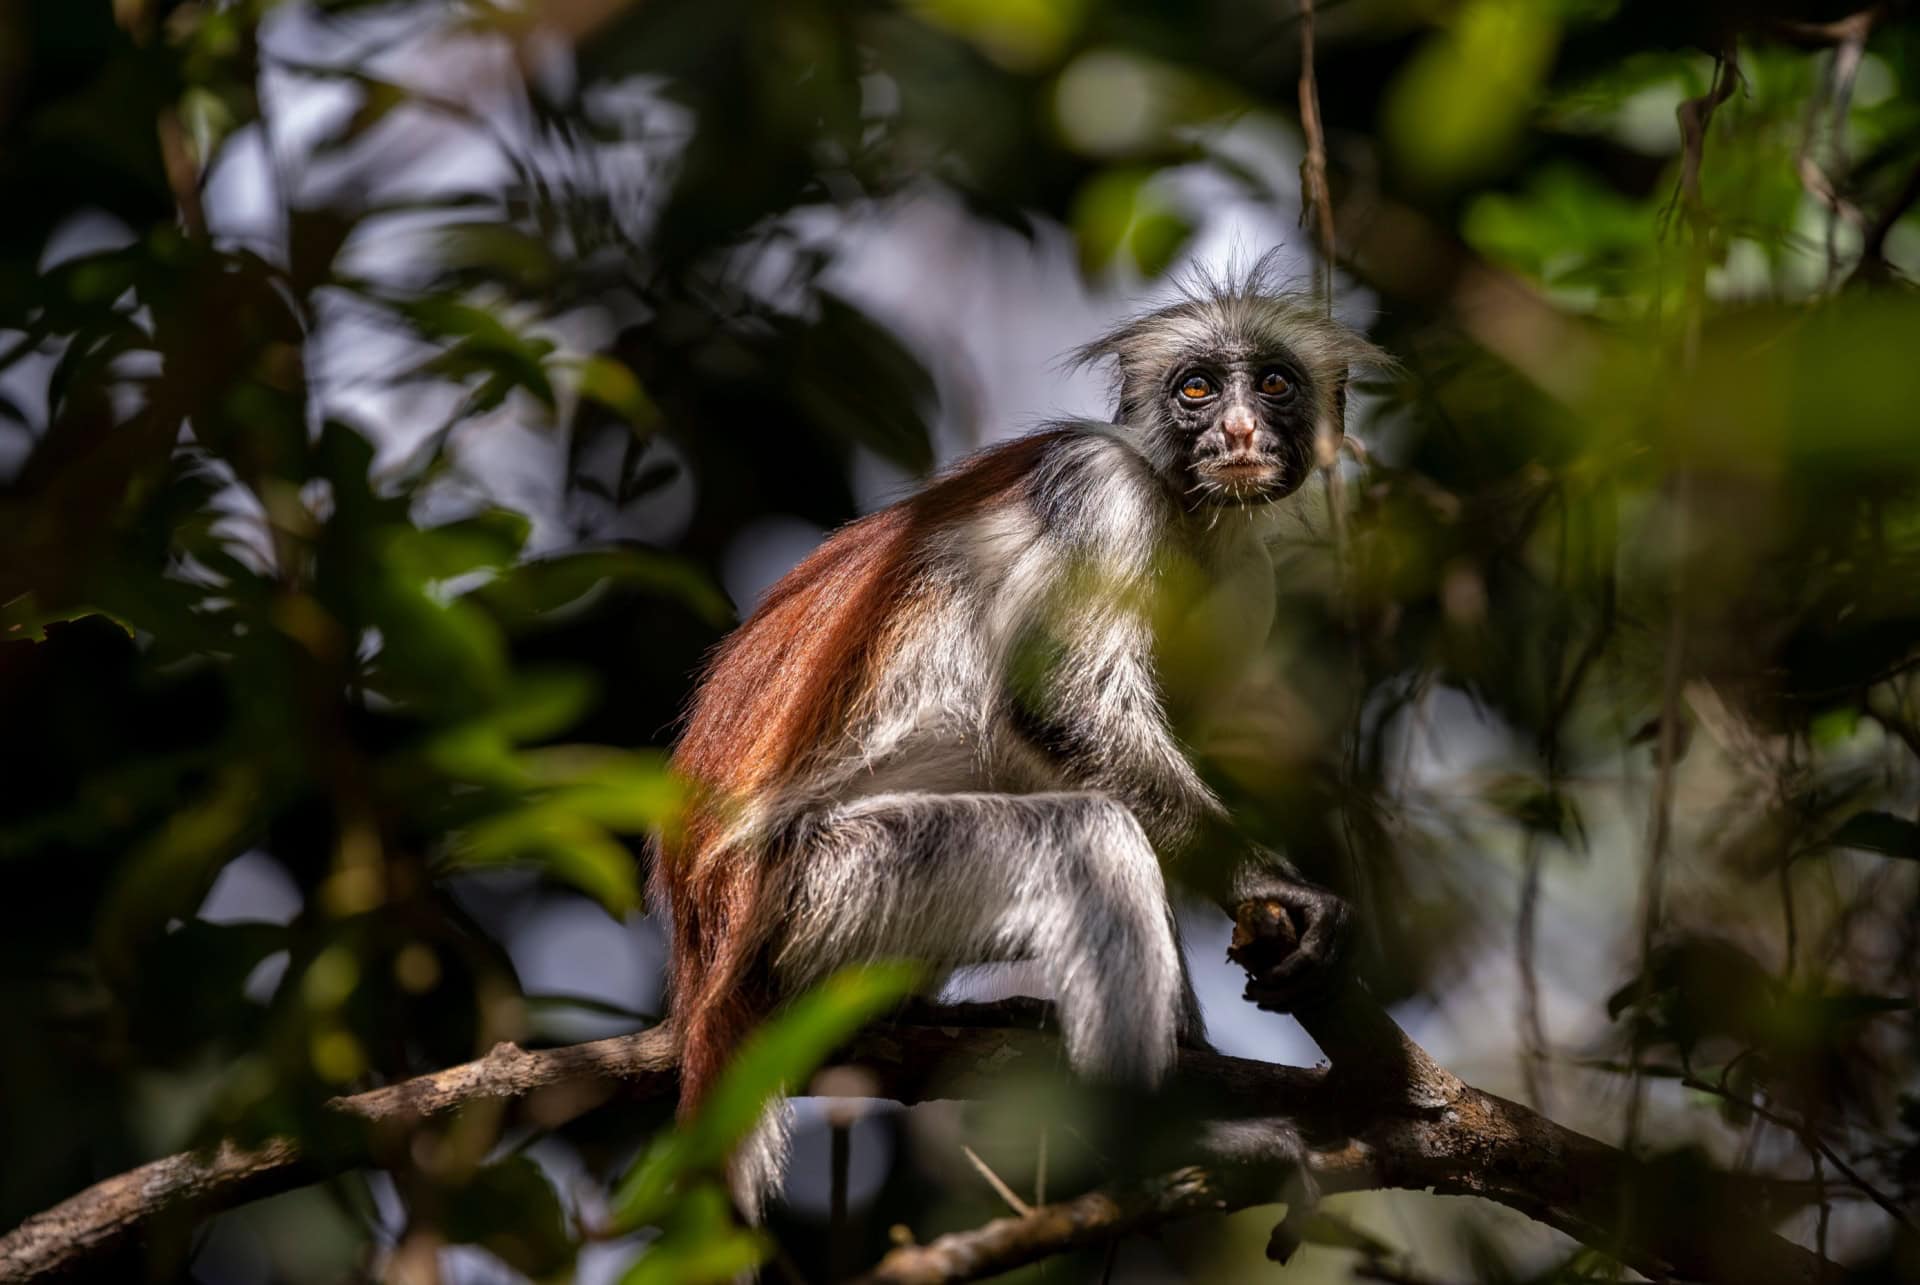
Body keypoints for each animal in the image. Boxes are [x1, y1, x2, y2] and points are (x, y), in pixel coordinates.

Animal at [653, 265, 1388, 1217]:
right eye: (1196, 389)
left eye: (1273, 384)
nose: (1236, 430)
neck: (1186, 514)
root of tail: (702, 942)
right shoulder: (1102, 488)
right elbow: (1061, 709)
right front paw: (1277, 885)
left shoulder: (1243, 583)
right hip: (820, 893)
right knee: (1090, 837)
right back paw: (1152, 1137)